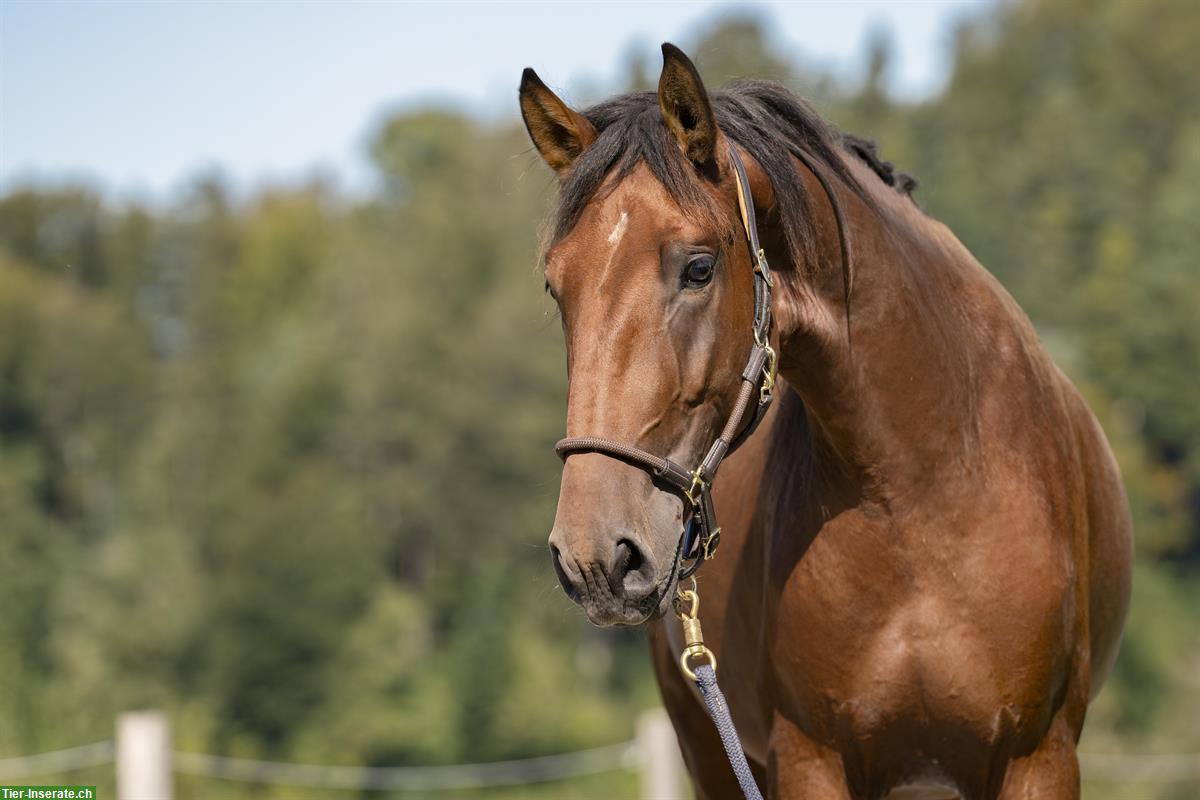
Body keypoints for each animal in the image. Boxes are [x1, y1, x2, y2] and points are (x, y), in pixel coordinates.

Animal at [520, 45, 1128, 800]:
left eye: (698, 268)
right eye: (556, 286)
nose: (595, 557)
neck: (920, 493)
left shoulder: (1039, 758)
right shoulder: (810, 760)